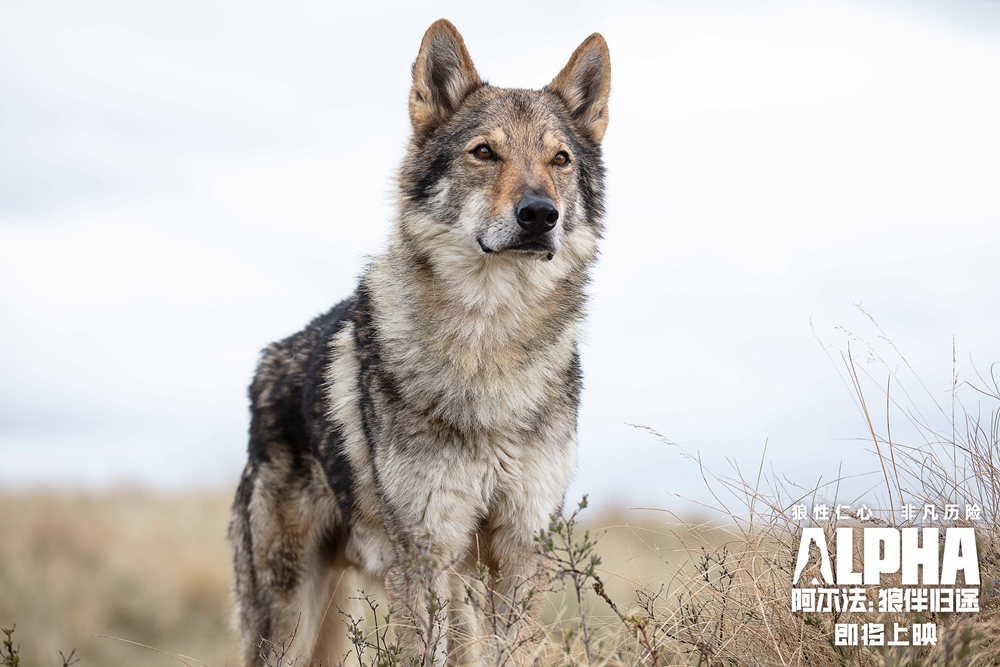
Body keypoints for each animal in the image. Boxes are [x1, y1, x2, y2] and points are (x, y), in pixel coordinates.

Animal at [229, 18, 608, 664]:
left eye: (559, 159)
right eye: (484, 152)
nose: (540, 214)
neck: (490, 351)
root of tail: (267, 361)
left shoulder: (519, 550)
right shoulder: (425, 552)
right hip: (291, 619)